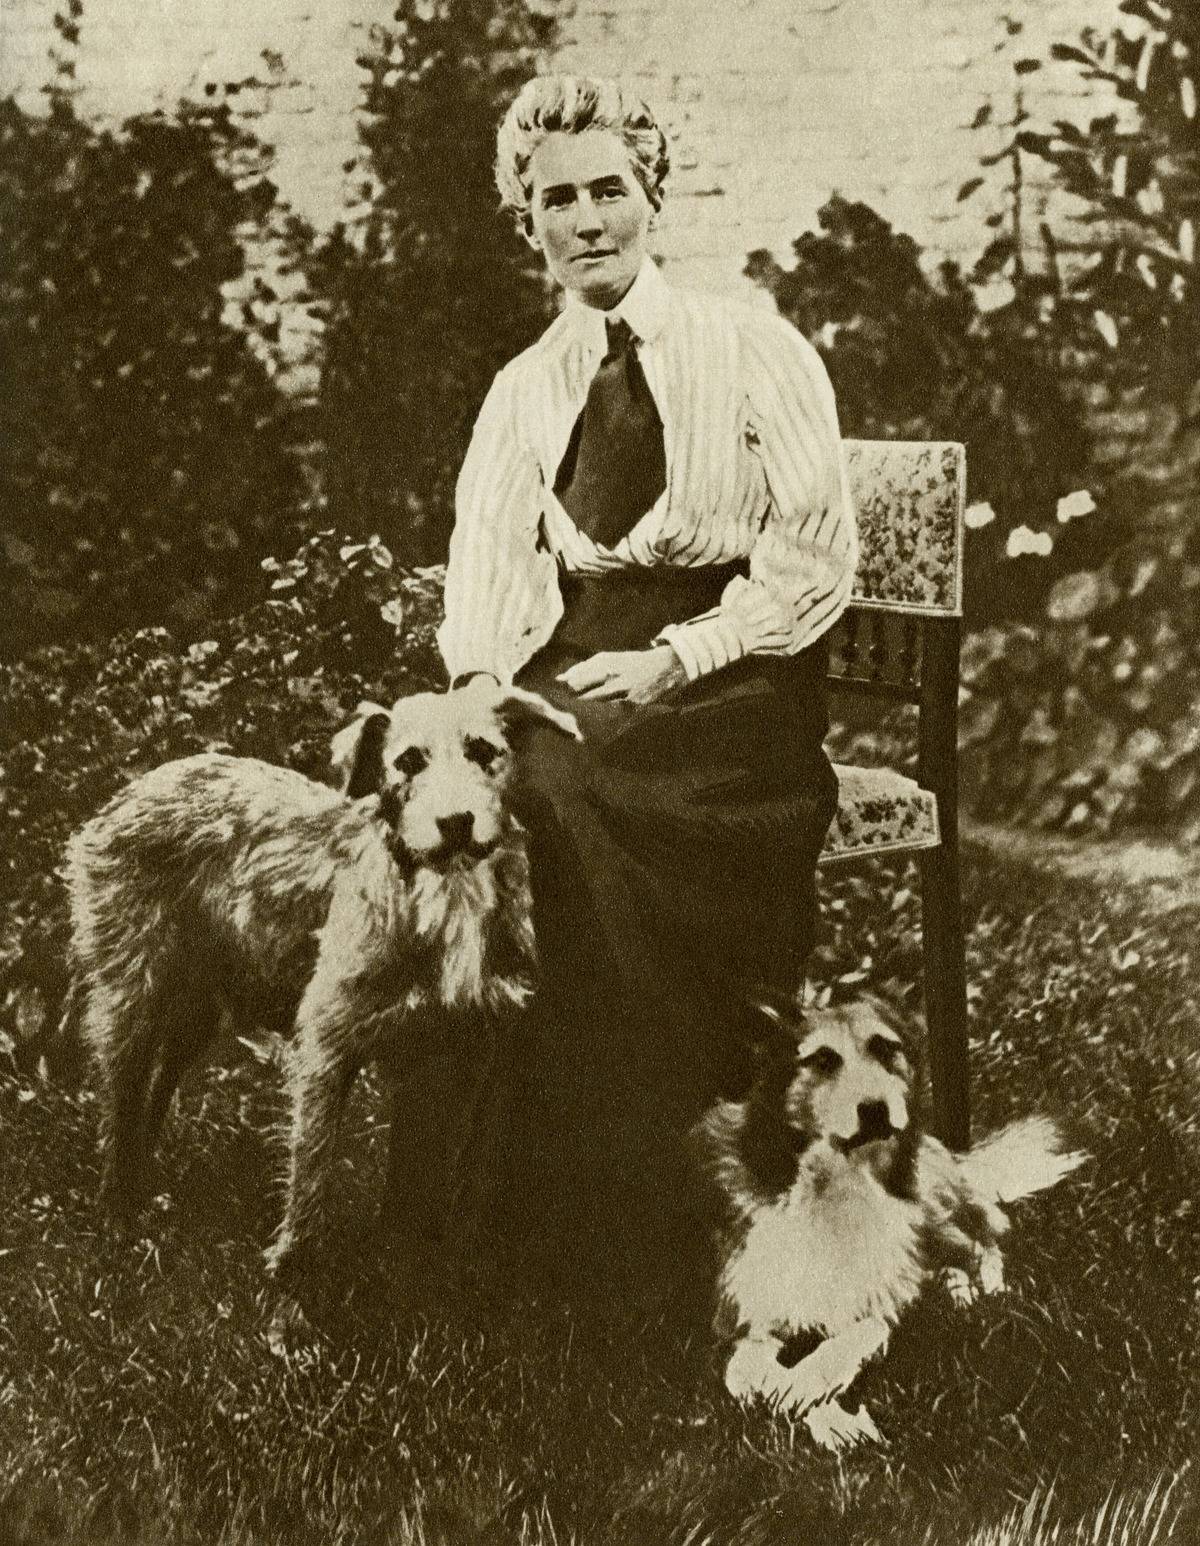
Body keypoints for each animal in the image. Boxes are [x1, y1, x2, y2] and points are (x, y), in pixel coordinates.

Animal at [65, 683, 581, 1286]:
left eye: (483, 751)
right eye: (409, 761)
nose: (456, 821)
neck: (444, 893)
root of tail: (140, 783)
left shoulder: (465, 1057)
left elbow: (436, 1174)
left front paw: (412, 1271)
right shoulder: (327, 1049)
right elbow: (310, 1175)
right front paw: (292, 1287)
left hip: (197, 1007)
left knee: (159, 1083)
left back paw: (143, 1180)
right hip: (134, 994)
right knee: (122, 1096)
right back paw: (117, 1208)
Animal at [698, 995, 1082, 1453]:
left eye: (884, 1049)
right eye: (823, 1059)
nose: (875, 1110)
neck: (839, 1181)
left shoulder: (888, 1293)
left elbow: (866, 1328)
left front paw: (815, 1396)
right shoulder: (745, 1316)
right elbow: (742, 1371)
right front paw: (806, 1402)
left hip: (933, 1209)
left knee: (981, 1241)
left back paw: (984, 1290)